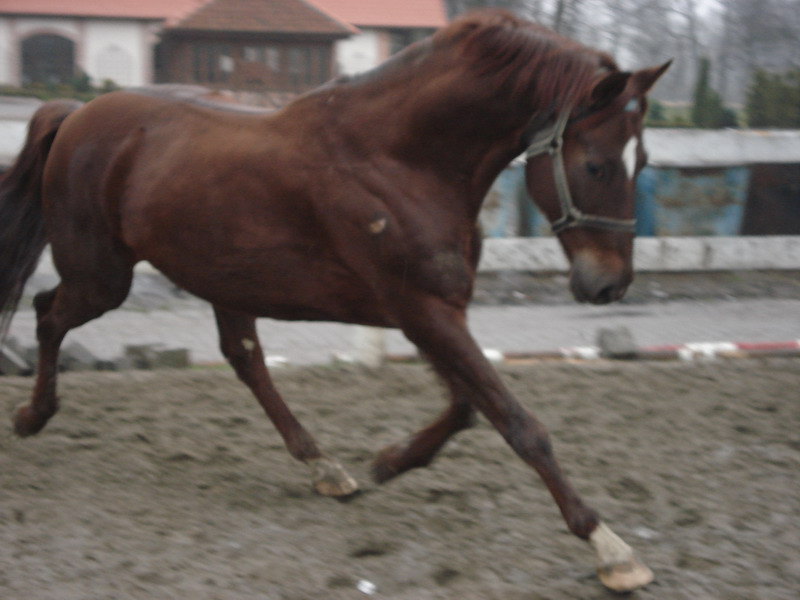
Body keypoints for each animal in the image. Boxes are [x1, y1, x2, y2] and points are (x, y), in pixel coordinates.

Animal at [0, 11, 668, 592]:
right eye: (596, 164)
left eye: (643, 160)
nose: (609, 285)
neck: (398, 159)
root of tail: (79, 114)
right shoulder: (423, 309)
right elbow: (517, 422)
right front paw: (611, 549)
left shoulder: (429, 313)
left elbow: (467, 407)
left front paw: (389, 461)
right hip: (102, 276)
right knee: (48, 314)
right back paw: (32, 417)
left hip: (220, 278)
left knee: (243, 357)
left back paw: (326, 468)